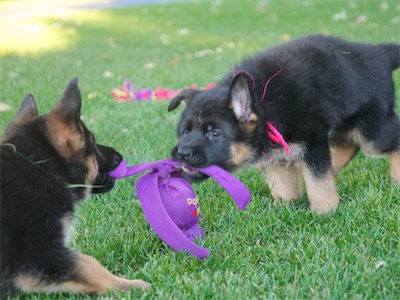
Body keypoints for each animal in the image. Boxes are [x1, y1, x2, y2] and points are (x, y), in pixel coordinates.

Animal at [0, 79, 150, 298]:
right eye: (93, 143)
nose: (119, 155)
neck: (41, 167)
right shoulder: (36, 253)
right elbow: (88, 263)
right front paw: (130, 285)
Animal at [169, 34, 400, 213]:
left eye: (215, 133)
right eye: (185, 131)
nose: (181, 153)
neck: (264, 105)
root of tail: (378, 53)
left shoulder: (313, 142)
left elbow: (318, 180)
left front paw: (325, 210)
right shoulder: (276, 157)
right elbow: (283, 187)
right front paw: (285, 208)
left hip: (372, 131)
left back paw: (396, 178)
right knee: (347, 146)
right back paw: (334, 170)